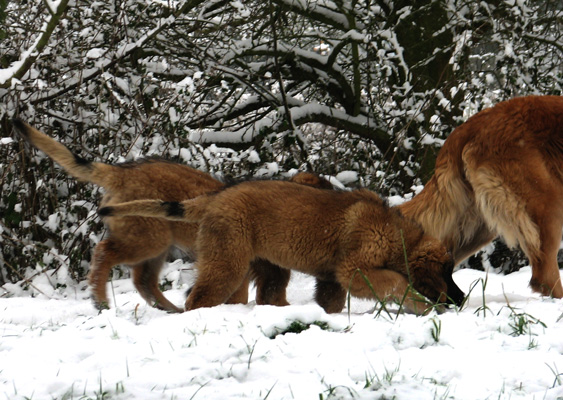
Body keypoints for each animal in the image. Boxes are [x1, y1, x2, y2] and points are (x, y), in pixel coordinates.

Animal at [12, 119, 330, 312]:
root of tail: (120, 173)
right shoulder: (238, 265)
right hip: (147, 239)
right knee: (105, 253)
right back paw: (101, 301)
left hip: (157, 244)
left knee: (143, 280)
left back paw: (168, 309)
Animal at [98, 180, 468, 314]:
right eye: (445, 272)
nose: (461, 299)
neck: (398, 235)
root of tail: (213, 199)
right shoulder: (354, 269)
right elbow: (396, 282)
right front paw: (421, 308)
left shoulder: (332, 278)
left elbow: (331, 303)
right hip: (228, 260)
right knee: (197, 297)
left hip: (267, 265)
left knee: (266, 294)